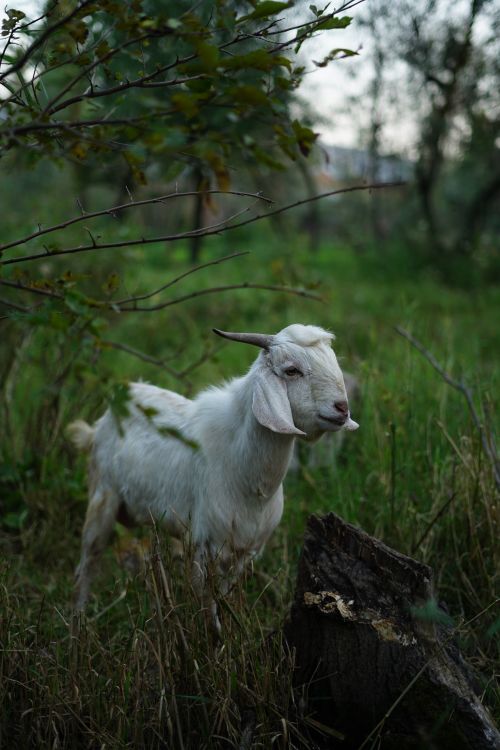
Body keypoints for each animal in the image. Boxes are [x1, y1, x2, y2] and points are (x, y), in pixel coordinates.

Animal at [68, 324, 359, 619]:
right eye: (291, 370)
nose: (342, 408)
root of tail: (103, 419)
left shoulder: (246, 551)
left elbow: (225, 596)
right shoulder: (203, 546)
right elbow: (208, 606)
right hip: (102, 499)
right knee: (87, 565)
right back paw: (78, 620)